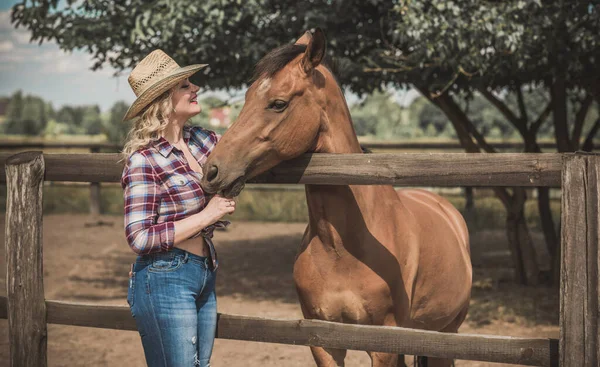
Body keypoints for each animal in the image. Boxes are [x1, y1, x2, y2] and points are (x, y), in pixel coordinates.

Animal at [199, 29, 472, 367]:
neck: (341, 248)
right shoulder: (323, 341)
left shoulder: (383, 345)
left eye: (278, 103)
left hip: (445, 336)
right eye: (247, 97)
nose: (212, 170)